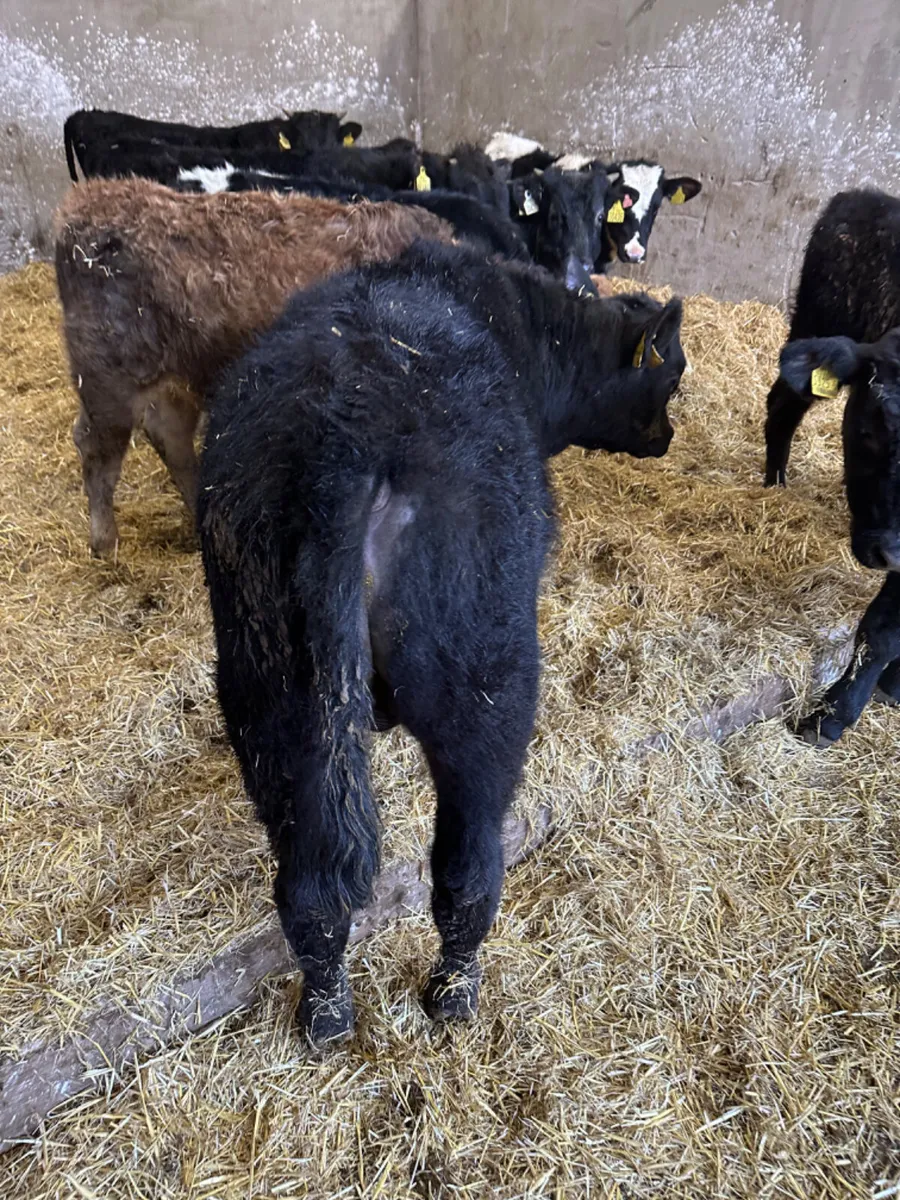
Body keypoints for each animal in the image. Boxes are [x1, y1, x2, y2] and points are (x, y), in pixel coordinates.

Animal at [54, 178, 455, 556]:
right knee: (97, 450)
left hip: (178, 375)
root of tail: (85, 203)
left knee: (168, 435)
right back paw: (105, 542)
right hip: (106, 380)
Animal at [197, 238, 686, 1047]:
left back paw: (327, 1016)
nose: (669, 438)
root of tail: (348, 434)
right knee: (465, 865)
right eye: (670, 373)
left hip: (267, 693)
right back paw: (454, 994)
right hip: (487, 685)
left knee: (310, 888)